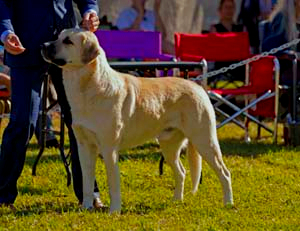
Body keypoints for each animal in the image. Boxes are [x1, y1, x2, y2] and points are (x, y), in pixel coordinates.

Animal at [41, 28, 233, 213]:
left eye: (68, 41)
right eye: (58, 37)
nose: (43, 45)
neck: (88, 88)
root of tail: (197, 87)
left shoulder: (109, 149)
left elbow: (113, 184)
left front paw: (114, 211)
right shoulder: (84, 147)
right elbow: (87, 182)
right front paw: (86, 208)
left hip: (204, 141)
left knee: (225, 173)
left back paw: (228, 204)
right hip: (169, 145)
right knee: (182, 172)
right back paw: (176, 201)